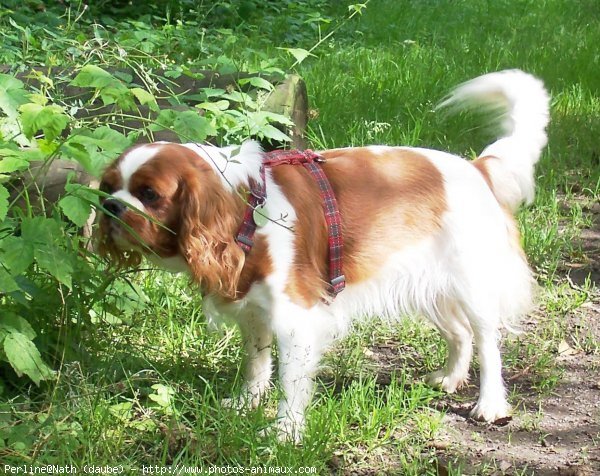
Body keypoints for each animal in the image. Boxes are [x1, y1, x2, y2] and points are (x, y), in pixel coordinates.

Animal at [97, 70, 548, 442]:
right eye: (108, 187)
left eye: (149, 195)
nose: (110, 207)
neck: (246, 209)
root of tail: (477, 168)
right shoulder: (255, 311)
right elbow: (256, 363)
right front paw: (246, 404)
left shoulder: (295, 317)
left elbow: (291, 382)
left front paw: (285, 432)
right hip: (429, 284)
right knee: (460, 332)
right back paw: (451, 377)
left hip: (472, 283)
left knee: (487, 340)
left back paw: (490, 404)